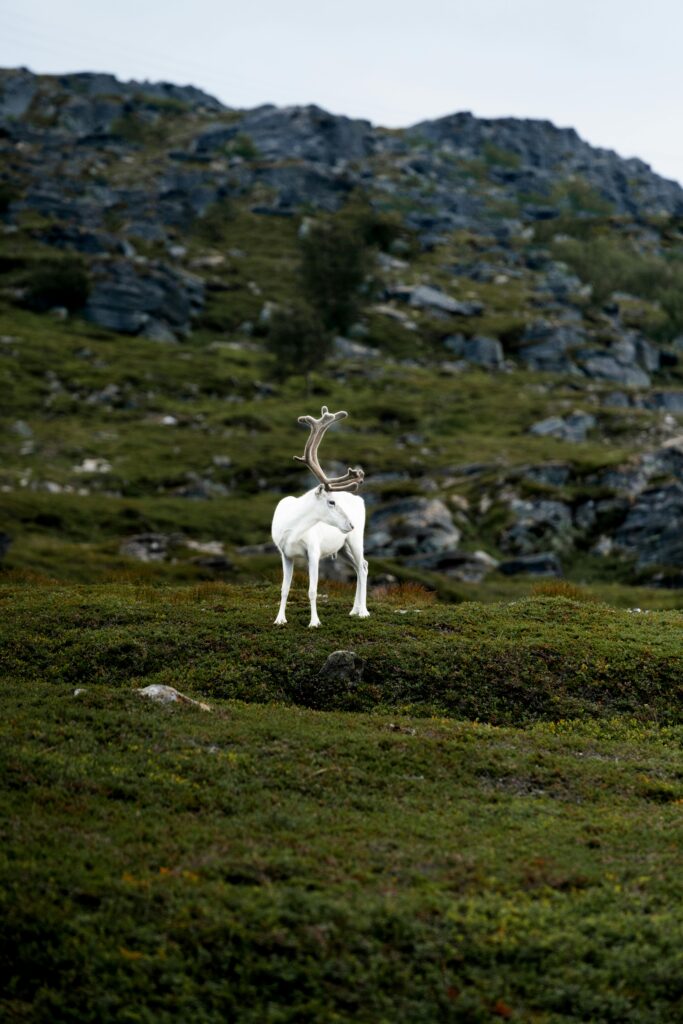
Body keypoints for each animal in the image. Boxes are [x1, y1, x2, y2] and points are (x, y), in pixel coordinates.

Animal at [272, 406, 369, 627]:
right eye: (331, 502)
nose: (351, 524)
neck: (293, 529)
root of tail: (360, 500)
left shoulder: (313, 552)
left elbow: (313, 590)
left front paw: (315, 622)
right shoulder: (285, 554)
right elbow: (284, 589)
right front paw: (280, 619)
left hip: (356, 540)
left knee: (363, 566)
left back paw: (364, 611)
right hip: (341, 548)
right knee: (359, 567)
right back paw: (354, 610)